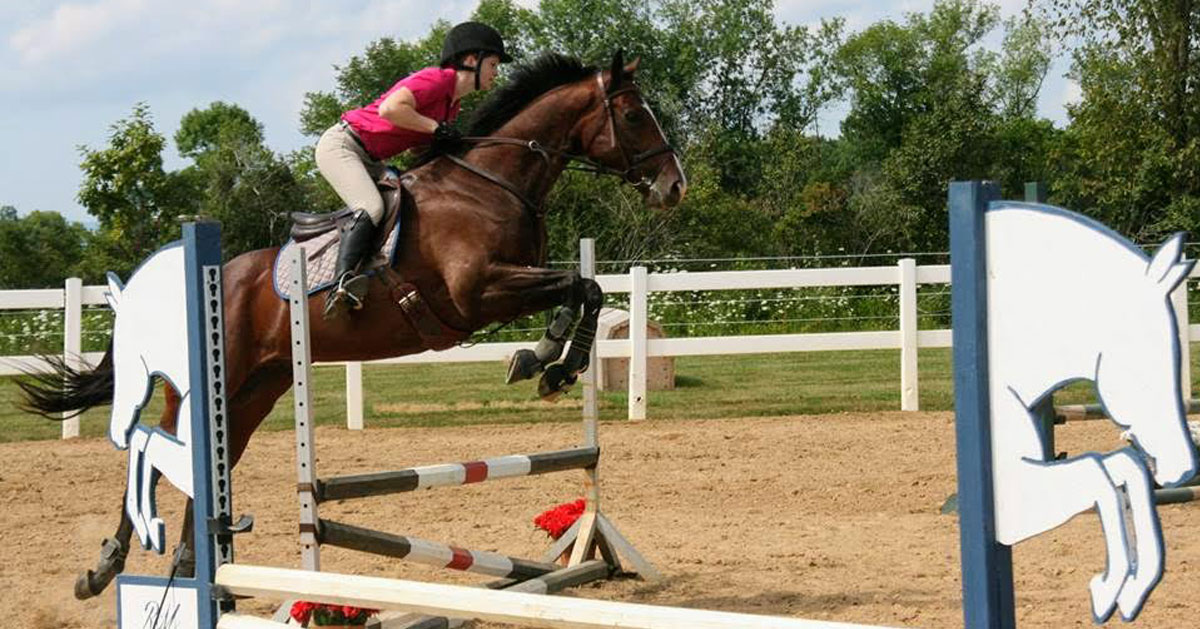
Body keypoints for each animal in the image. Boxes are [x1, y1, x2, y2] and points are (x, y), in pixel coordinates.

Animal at [21, 49, 686, 600]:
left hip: (256, 391)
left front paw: (547, 363)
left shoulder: (509, 284)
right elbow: (580, 286)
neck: (491, 184)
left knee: (205, 462)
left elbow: (583, 289)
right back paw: (108, 567)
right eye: (633, 115)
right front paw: (549, 362)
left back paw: (198, 573)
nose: (674, 186)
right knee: (157, 450)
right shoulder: (477, 294)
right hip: (211, 384)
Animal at [988, 204, 1195, 619]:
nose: (1183, 469)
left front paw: (1131, 589)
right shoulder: (1015, 500)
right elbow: (1099, 475)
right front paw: (1105, 589)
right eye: (1148, 362)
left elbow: (1123, 468)